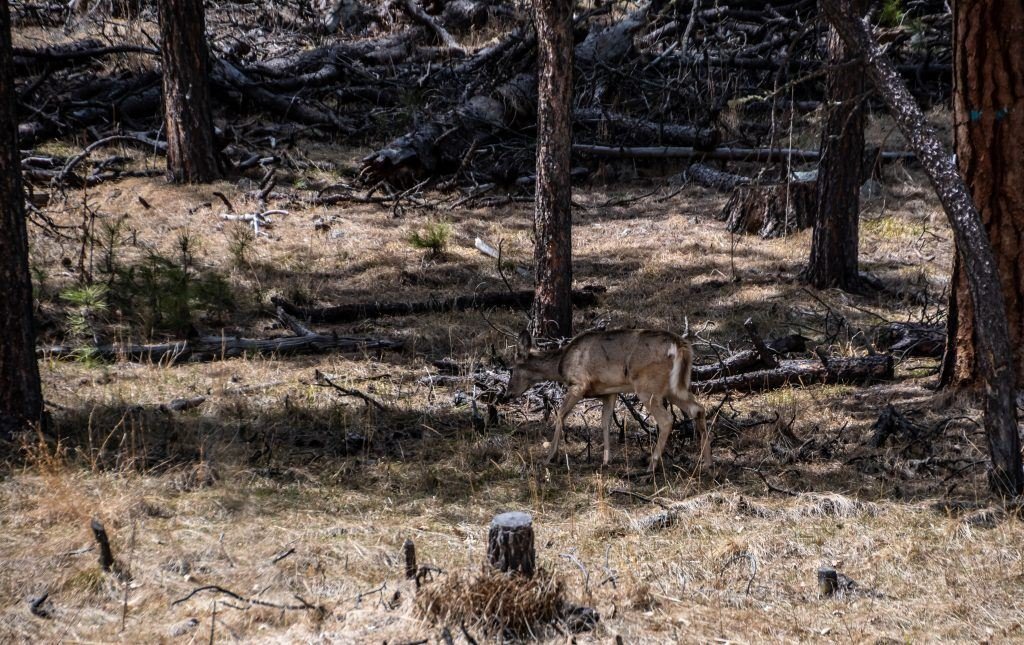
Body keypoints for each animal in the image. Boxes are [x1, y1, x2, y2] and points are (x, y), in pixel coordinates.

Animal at [503, 328, 710, 473]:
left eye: (511, 369)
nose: (507, 394)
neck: (561, 365)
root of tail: (680, 346)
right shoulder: (609, 392)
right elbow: (606, 422)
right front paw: (605, 461)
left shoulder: (579, 384)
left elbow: (560, 415)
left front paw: (549, 458)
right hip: (673, 388)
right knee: (698, 410)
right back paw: (705, 462)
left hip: (647, 385)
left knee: (667, 420)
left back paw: (651, 465)